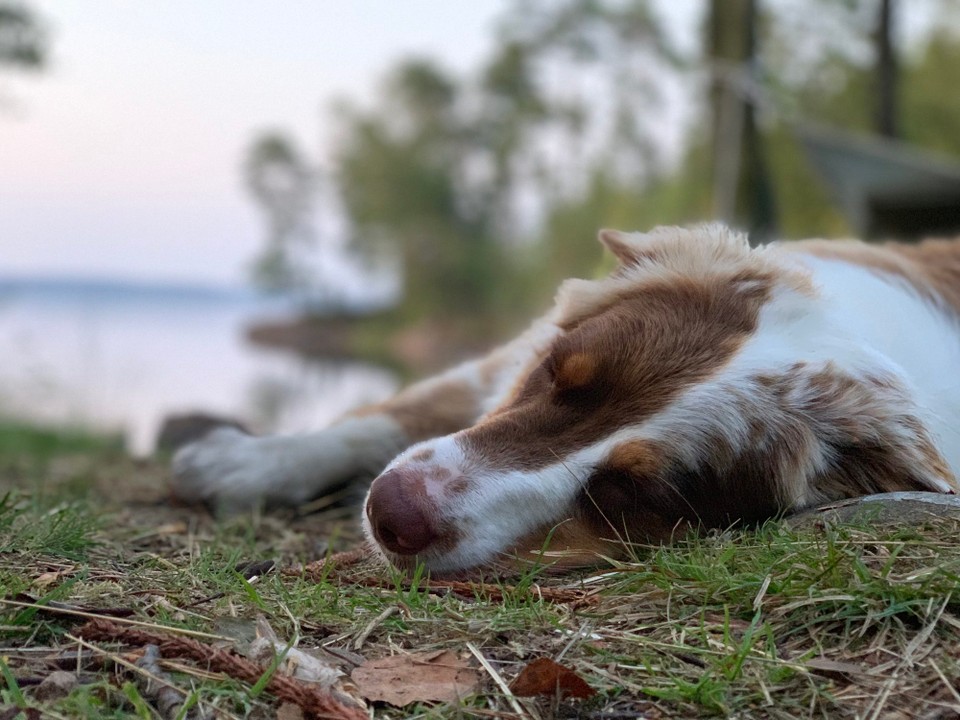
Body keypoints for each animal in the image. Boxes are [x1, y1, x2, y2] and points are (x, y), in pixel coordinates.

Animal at [171, 225, 960, 572]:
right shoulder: (500, 365)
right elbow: (378, 420)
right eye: (556, 373)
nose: (391, 513)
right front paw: (246, 462)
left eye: (635, 494)